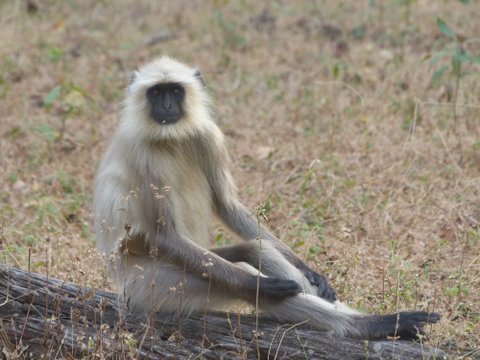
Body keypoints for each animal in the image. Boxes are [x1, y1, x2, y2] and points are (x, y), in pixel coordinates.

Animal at [93, 56, 438, 340]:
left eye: (175, 92)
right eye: (155, 93)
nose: (166, 107)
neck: (170, 138)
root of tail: (120, 281)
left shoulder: (209, 135)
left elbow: (226, 204)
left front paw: (310, 272)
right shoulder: (144, 156)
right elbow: (162, 234)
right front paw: (262, 286)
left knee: (255, 248)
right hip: (151, 285)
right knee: (248, 281)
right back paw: (368, 325)